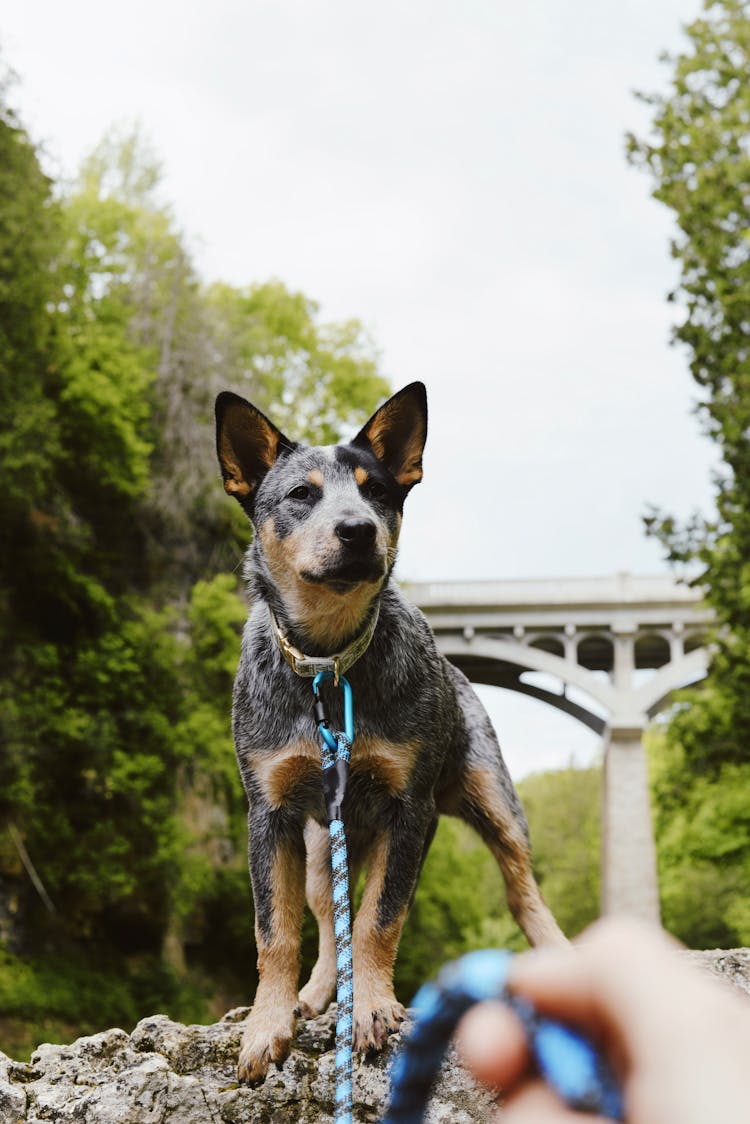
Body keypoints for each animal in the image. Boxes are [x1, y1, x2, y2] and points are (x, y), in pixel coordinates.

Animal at [213, 382, 566, 1083]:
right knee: (329, 922)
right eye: (301, 494)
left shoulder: (410, 809)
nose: (358, 529)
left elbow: (382, 918)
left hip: (492, 799)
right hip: (322, 848)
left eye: (375, 489)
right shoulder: (268, 812)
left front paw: (374, 1008)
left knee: (521, 888)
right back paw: (320, 990)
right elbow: (276, 932)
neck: (328, 669)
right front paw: (267, 1025)